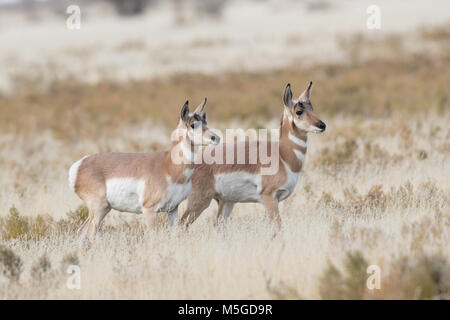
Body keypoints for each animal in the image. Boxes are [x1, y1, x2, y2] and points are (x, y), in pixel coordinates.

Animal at [68, 99, 220, 241]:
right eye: (193, 124)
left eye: (205, 121)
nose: (216, 138)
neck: (168, 167)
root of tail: (79, 164)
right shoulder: (149, 211)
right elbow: (154, 238)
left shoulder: (173, 209)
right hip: (98, 208)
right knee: (89, 234)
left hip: (105, 208)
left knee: (81, 232)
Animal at [178, 81, 324, 234]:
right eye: (299, 111)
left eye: (312, 108)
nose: (322, 125)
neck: (282, 156)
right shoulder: (269, 198)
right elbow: (278, 226)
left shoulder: (273, 201)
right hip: (199, 201)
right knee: (182, 224)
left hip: (226, 202)